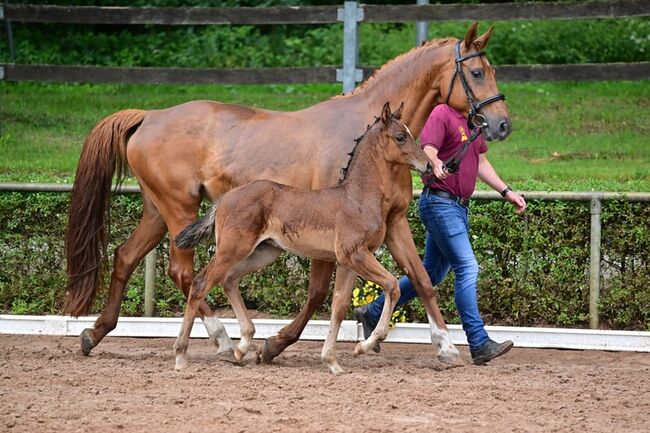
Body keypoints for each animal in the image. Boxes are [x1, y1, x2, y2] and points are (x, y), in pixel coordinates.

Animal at [67, 22, 512, 362]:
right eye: (476, 73)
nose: (501, 125)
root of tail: (149, 116)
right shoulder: (331, 238)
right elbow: (318, 293)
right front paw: (275, 344)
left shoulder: (395, 222)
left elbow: (419, 279)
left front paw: (447, 347)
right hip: (181, 210)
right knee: (187, 273)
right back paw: (223, 340)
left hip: (159, 211)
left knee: (126, 257)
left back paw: (94, 333)